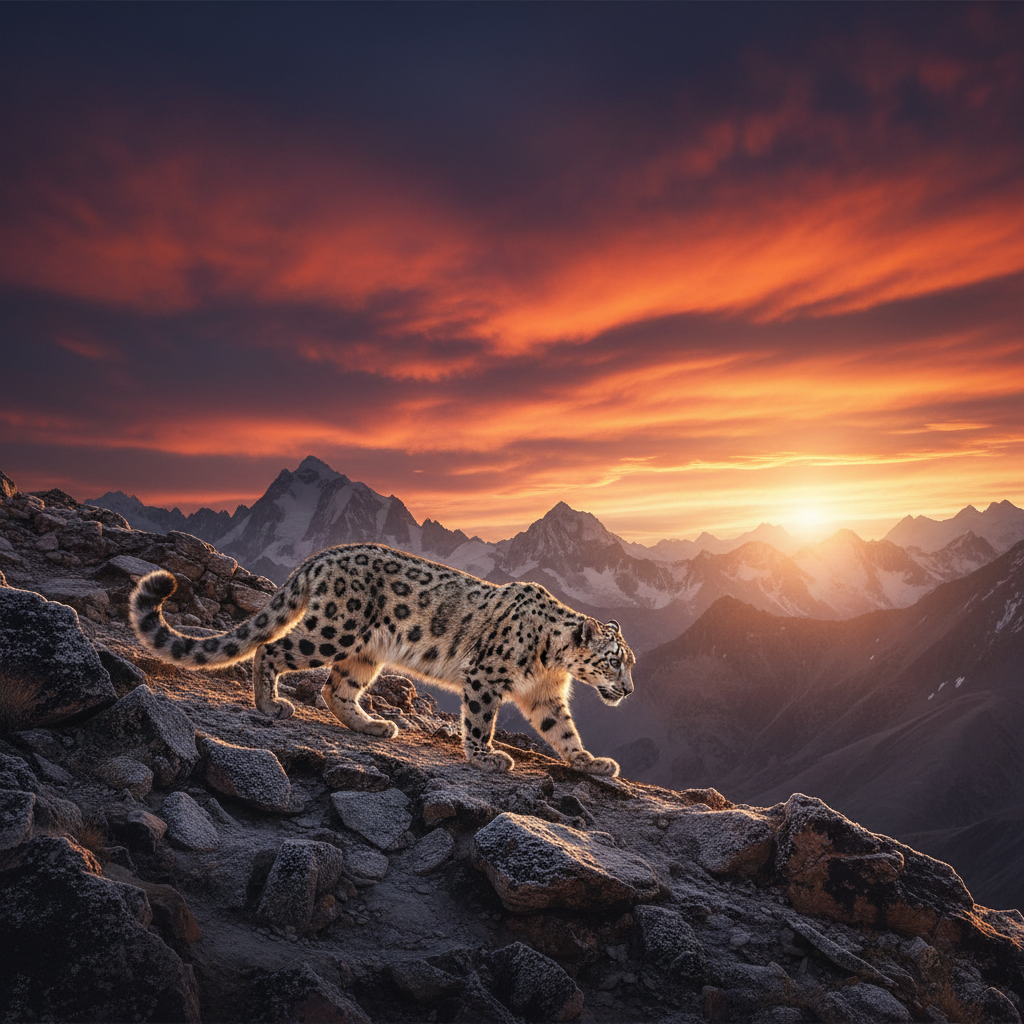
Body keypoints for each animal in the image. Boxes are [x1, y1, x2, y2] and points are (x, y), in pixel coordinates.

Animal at [129, 543, 635, 775]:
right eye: (614, 661)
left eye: (629, 662)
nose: (629, 690)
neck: (552, 663)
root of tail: (322, 557)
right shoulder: (486, 677)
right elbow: (479, 720)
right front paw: (486, 757)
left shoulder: (545, 696)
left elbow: (563, 730)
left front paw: (591, 763)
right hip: (334, 631)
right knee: (273, 649)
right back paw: (270, 705)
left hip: (364, 652)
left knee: (336, 689)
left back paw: (374, 725)